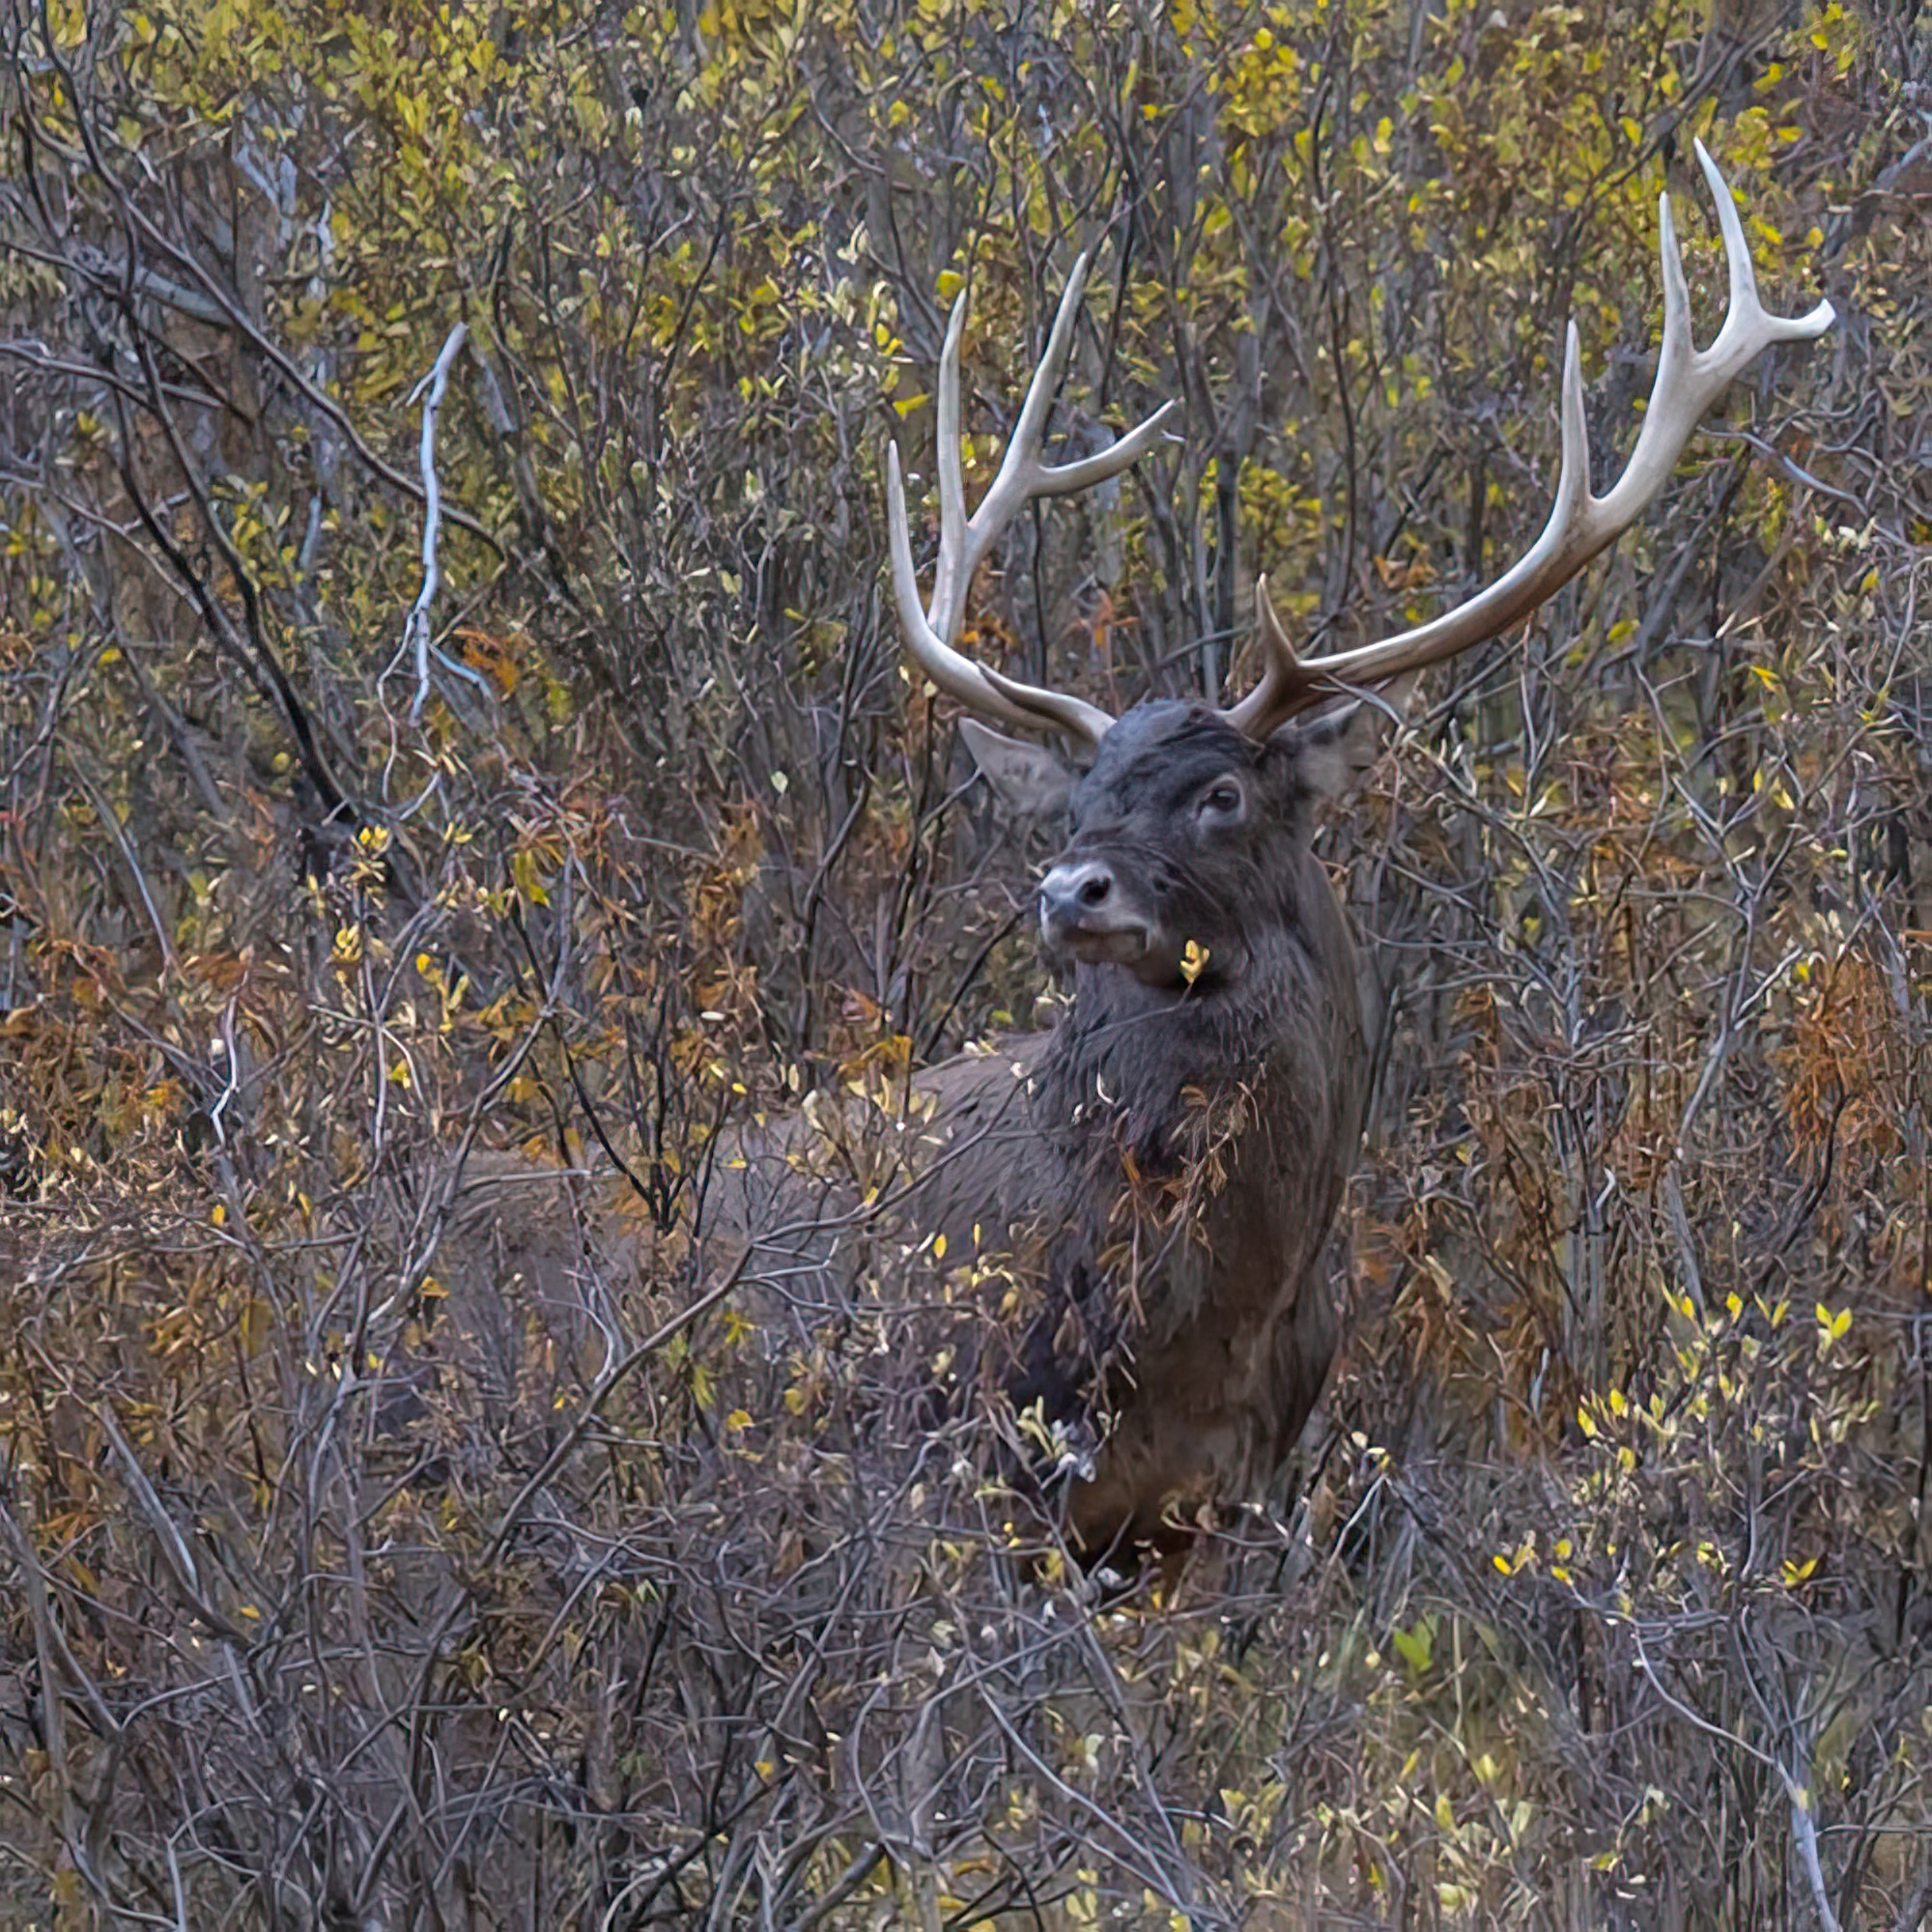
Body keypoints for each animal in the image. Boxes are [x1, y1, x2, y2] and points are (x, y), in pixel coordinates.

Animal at [443, 145, 1831, 1567]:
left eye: (1220, 792)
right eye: (1077, 803)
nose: (1071, 891)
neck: (1206, 1319)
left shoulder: (1220, 1502)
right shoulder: (951, 1453)